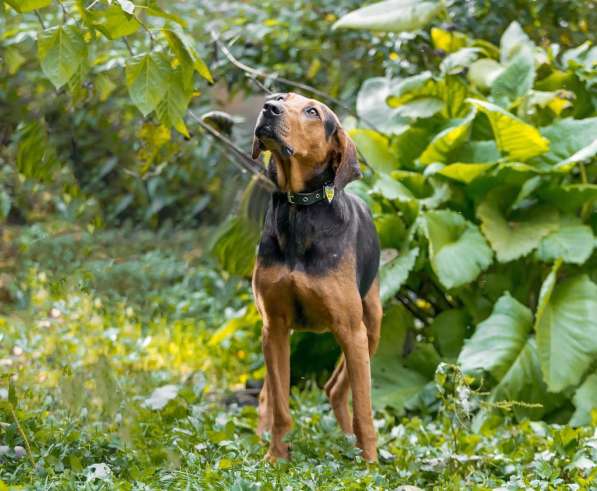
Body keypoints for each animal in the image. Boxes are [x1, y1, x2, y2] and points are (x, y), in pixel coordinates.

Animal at [251, 93, 382, 466]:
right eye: (280, 97)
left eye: (312, 111)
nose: (269, 107)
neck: (299, 210)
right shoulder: (274, 326)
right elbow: (281, 406)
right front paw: (275, 456)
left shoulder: (351, 329)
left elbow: (364, 410)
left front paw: (371, 465)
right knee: (272, 393)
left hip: (371, 325)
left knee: (338, 390)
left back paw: (353, 442)